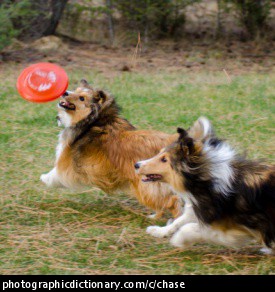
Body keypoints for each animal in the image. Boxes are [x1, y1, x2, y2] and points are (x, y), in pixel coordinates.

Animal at [136, 117, 275, 254]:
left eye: (164, 160)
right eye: (159, 153)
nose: (136, 165)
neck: (207, 180)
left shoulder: (231, 231)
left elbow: (192, 228)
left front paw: (178, 239)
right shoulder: (199, 207)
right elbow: (179, 221)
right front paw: (158, 231)